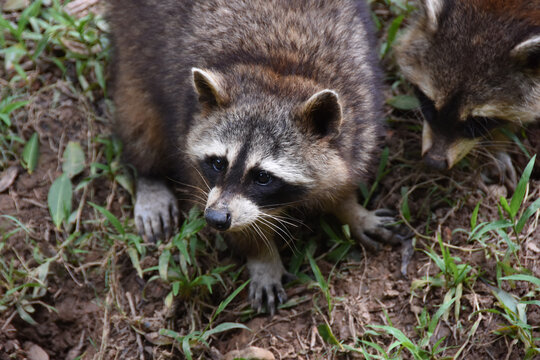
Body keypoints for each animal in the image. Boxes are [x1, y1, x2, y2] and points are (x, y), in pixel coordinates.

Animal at [108, 0, 400, 314]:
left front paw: (351, 209)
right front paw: (262, 256)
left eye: (262, 177)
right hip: (134, 37)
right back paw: (148, 173)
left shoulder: (361, 112)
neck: (279, 71)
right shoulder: (189, 136)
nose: (215, 218)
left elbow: (343, 176)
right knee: (138, 112)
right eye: (218, 163)